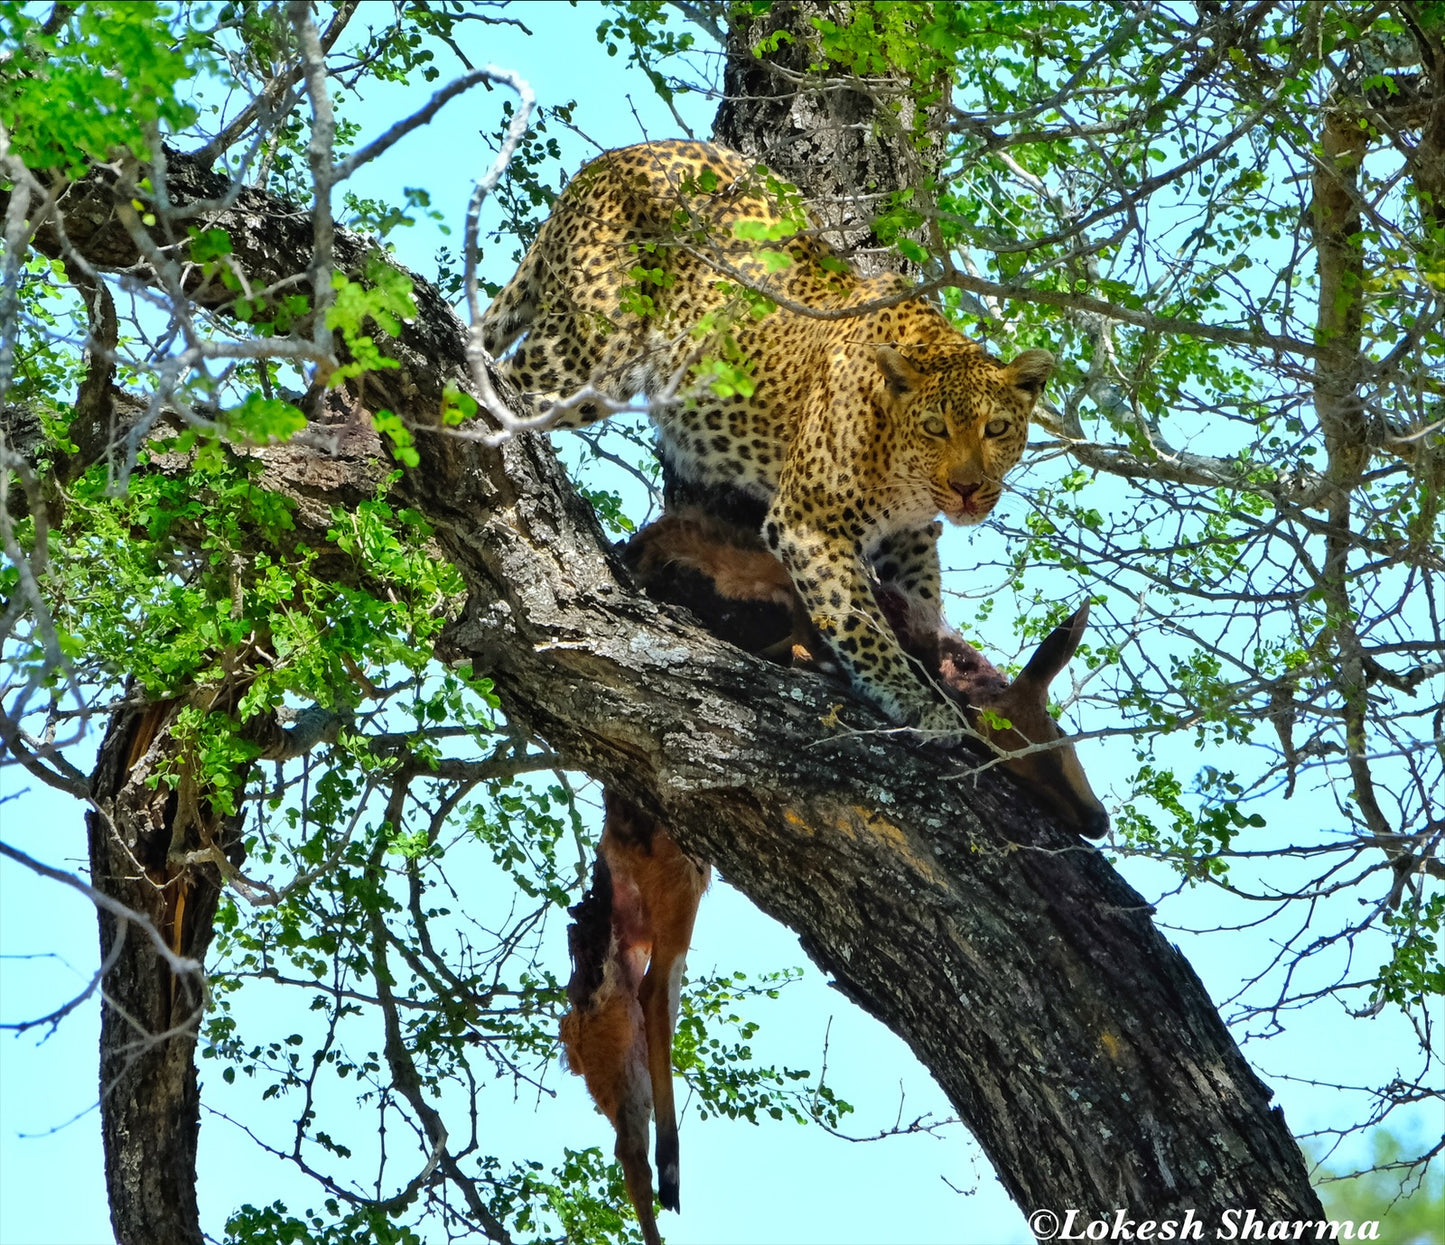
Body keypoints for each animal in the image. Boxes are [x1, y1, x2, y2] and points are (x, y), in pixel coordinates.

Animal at [480, 139, 1053, 731]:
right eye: (935, 428)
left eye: (996, 428)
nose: (966, 490)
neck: (903, 468)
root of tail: (607, 160)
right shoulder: (808, 524)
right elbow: (859, 623)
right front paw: (915, 700)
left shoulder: (910, 537)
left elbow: (921, 607)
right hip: (583, 356)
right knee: (498, 387)